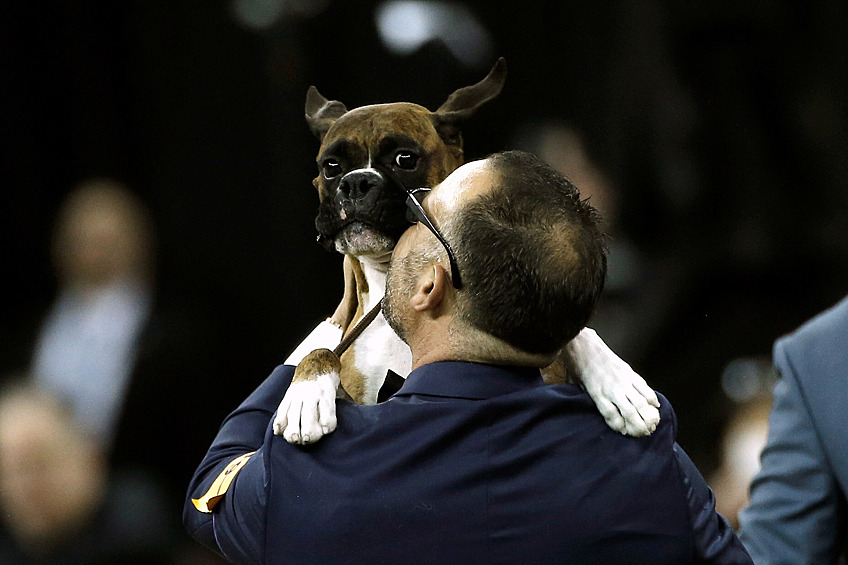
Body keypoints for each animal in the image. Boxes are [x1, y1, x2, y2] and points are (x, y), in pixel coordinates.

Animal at [274, 59, 660, 442]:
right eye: (331, 167)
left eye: (404, 158)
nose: (355, 182)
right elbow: (321, 351)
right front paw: (306, 394)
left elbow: (577, 333)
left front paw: (614, 378)